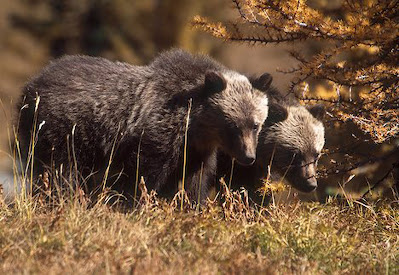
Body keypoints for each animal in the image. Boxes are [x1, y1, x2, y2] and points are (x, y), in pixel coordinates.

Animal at [18, 49, 272, 203]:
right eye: (232, 125)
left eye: (255, 125)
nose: (248, 157)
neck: (195, 126)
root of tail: (31, 85)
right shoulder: (158, 138)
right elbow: (144, 177)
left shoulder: (196, 153)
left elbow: (194, 184)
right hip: (62, 131)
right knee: (60, 171)